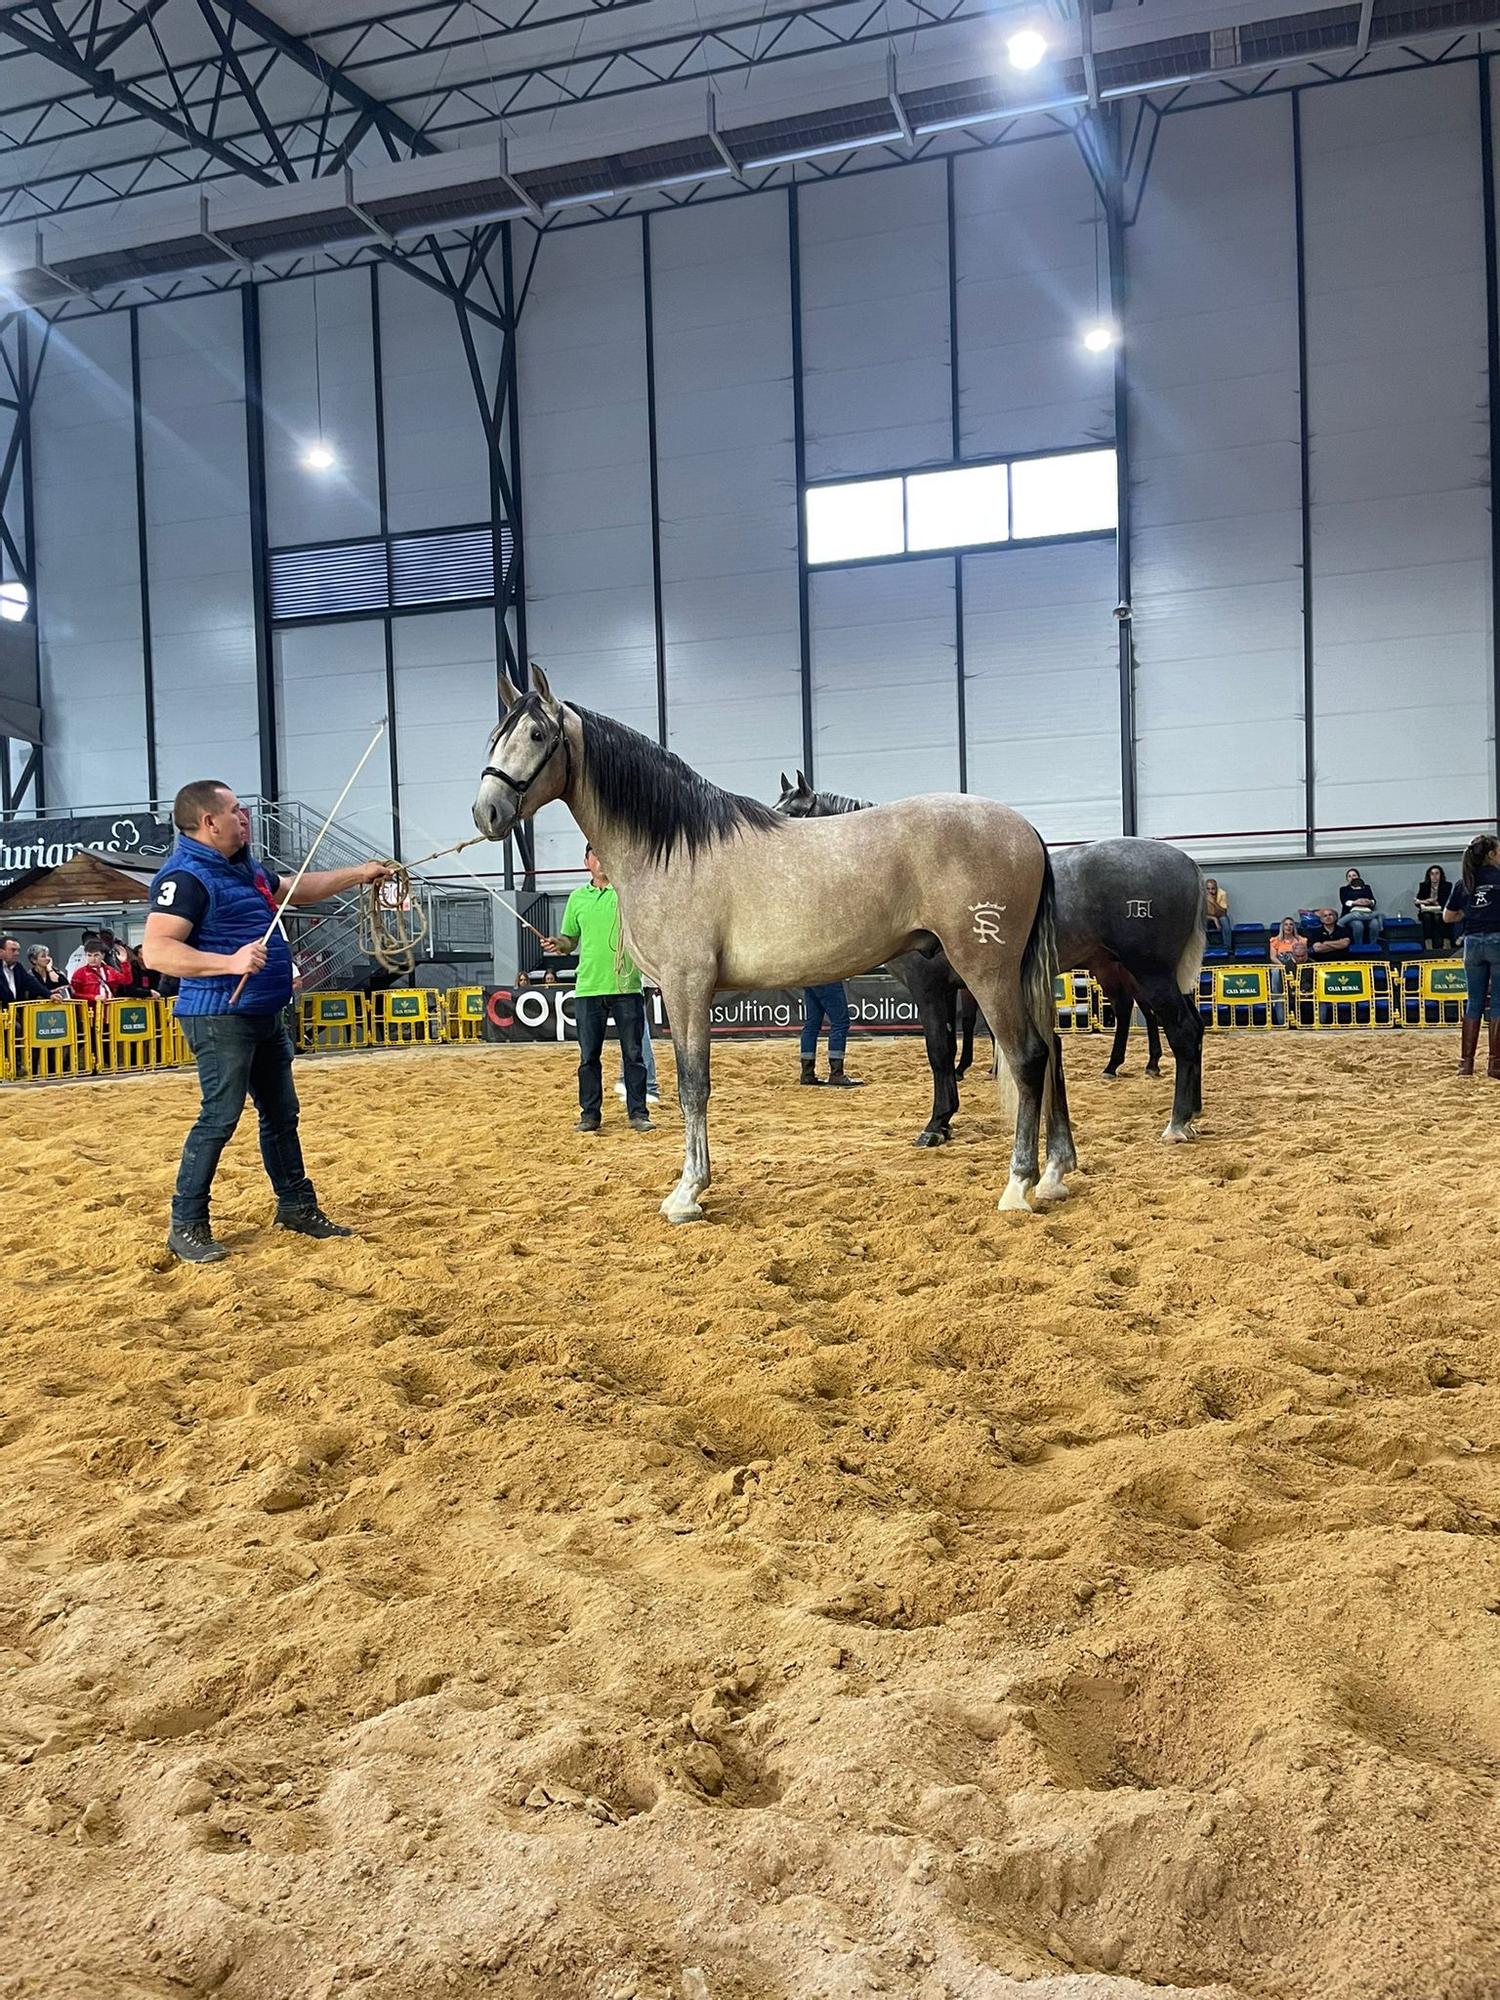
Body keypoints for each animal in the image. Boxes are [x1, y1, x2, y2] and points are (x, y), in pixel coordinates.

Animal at [476, 676, 1072, 1216]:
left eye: (536, 733)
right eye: (495, 734)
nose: (487, 812)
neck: (674, 848)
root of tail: (1026, 830)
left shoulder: (687, 986)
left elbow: (694, 1085)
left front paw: (687, 1193)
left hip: (988, 970)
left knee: (1027, 1058)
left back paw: (1019, 1185)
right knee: (1049, 1053)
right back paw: (1054, 1174)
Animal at [776, 772, 1208, 1144]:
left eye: (793, 813)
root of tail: (1187, 863)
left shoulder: (929, 988)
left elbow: (939, 1049)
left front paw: (937, 1123)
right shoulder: (956, 987)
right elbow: (957, 1037)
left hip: (1148, 971)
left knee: (1178, 1029)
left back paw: (1175, 1119)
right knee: (1178, 1024)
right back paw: (1183, 1102)